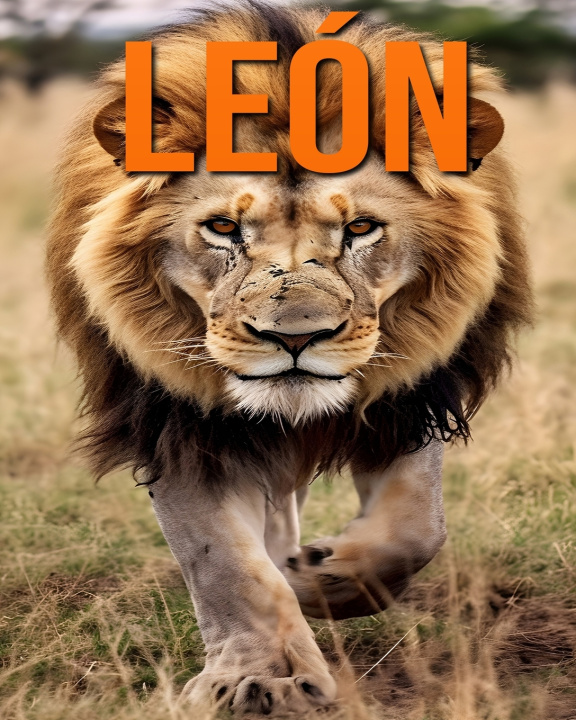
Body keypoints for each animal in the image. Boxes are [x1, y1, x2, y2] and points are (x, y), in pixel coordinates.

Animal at [46, 2, 533, 715]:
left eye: (360, 228)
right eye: (224, 228)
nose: (296, 339)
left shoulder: (411, 398)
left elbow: (417, 527)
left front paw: (321, 582)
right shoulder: (174, 423)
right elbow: (224, 560)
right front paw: (263, 677)